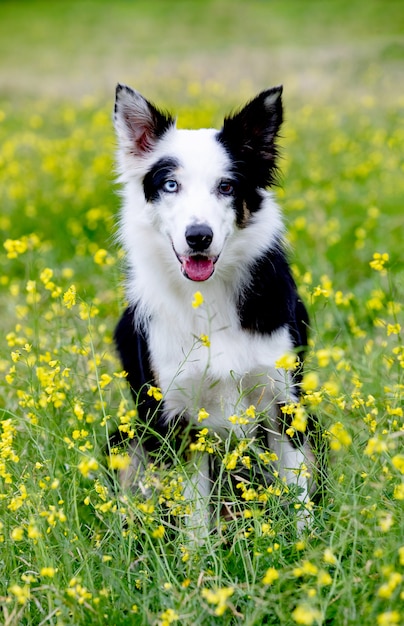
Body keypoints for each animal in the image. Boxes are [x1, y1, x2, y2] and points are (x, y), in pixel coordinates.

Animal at [111, 81, 316, 532]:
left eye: (226, 187)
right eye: (170, 185)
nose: (198, 237)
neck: (208, 298)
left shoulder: (282, 403)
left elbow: (298, 494)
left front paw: (309, 544)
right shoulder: (176, 416)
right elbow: (194, 516)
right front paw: (198, 552)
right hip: (128, 438)